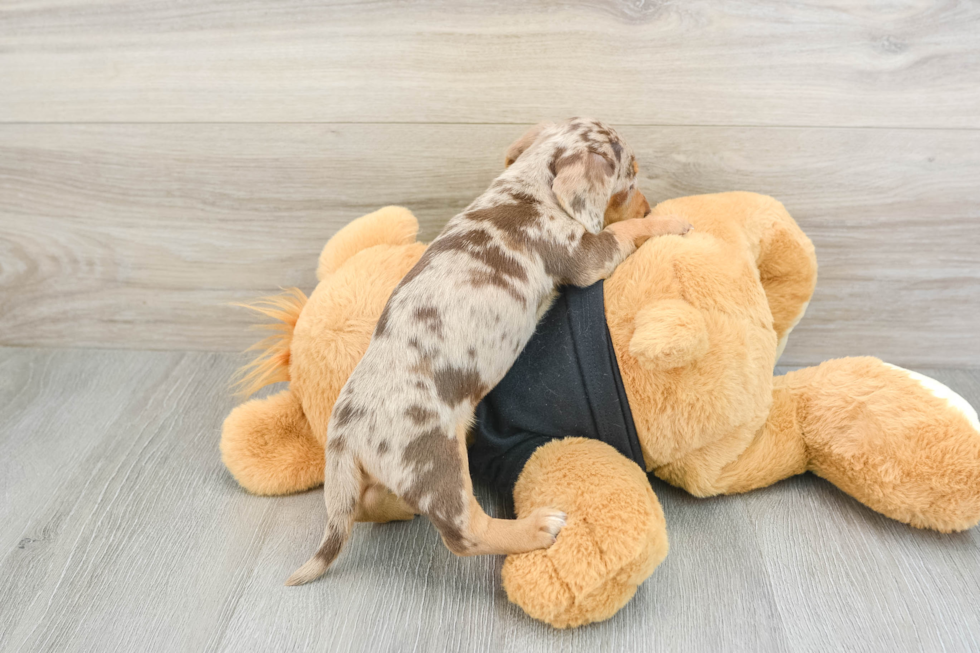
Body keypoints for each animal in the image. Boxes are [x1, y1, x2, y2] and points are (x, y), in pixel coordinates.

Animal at [288, 118, 692, 584]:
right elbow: (621, 233)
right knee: (466, 535)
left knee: (368, 505)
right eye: (630, 180)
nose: (649, 206)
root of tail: (343, 437)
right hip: (435, 461)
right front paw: (670, 221)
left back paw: (399, 507)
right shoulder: (587, 256)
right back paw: (534, 529)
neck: (528, 188)